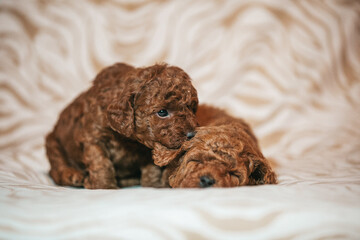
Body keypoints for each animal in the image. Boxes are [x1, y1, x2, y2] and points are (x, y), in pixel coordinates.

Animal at [46, 63, 198, 189]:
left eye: (191, 107)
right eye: (162, 112)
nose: (192, 134)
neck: (127, 140)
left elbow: (152, 168)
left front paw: (153, 185)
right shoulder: (93, 137)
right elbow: (100, 163)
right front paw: (104, 186)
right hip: (53, 143)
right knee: (56, 168)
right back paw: (73, 175)